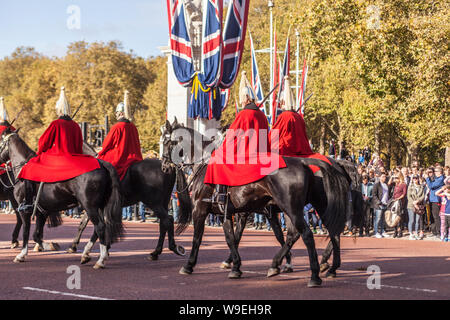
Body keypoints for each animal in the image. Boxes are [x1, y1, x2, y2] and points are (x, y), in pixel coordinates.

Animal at [0, 129, 123, 268]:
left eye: (0, 142)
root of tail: (103, 164)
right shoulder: (42, 212)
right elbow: (36, 235)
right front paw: (49, 245)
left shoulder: (24, 209)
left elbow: (26, 231)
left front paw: (22, 254)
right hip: (100, 206)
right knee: (101, 227)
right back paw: (88, 254)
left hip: (90, 206)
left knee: (100, 227)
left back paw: (100, 260)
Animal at [161, 121, 348, 286]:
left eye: (166, 142)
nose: (164, 166)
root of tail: (303, 163)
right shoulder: (228, 213)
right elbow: (231, 238)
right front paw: (236, 266)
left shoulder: (200, 210)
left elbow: (198, 238)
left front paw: (189, 265)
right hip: (317, 206)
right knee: (328, 232)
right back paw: (325, 267)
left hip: (292, 209)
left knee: (307, 234)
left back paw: (314, 275)